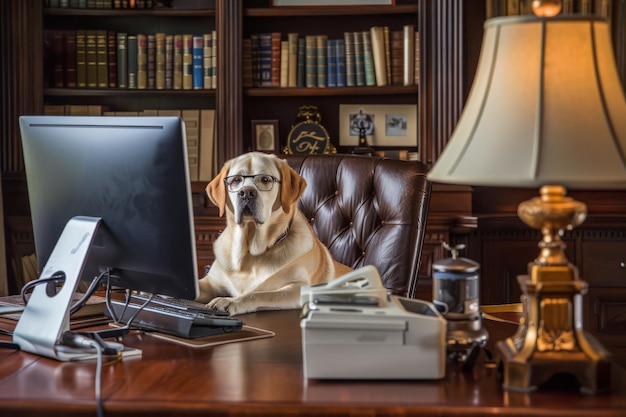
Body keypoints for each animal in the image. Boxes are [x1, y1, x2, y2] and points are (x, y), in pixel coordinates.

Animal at [196, 151, 352, 314]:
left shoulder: (299, 288)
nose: (246, 193)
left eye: (265, 179)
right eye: (236, 180)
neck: (250, 253)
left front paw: (229, 300)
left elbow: (258, 294)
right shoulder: (210, 282)